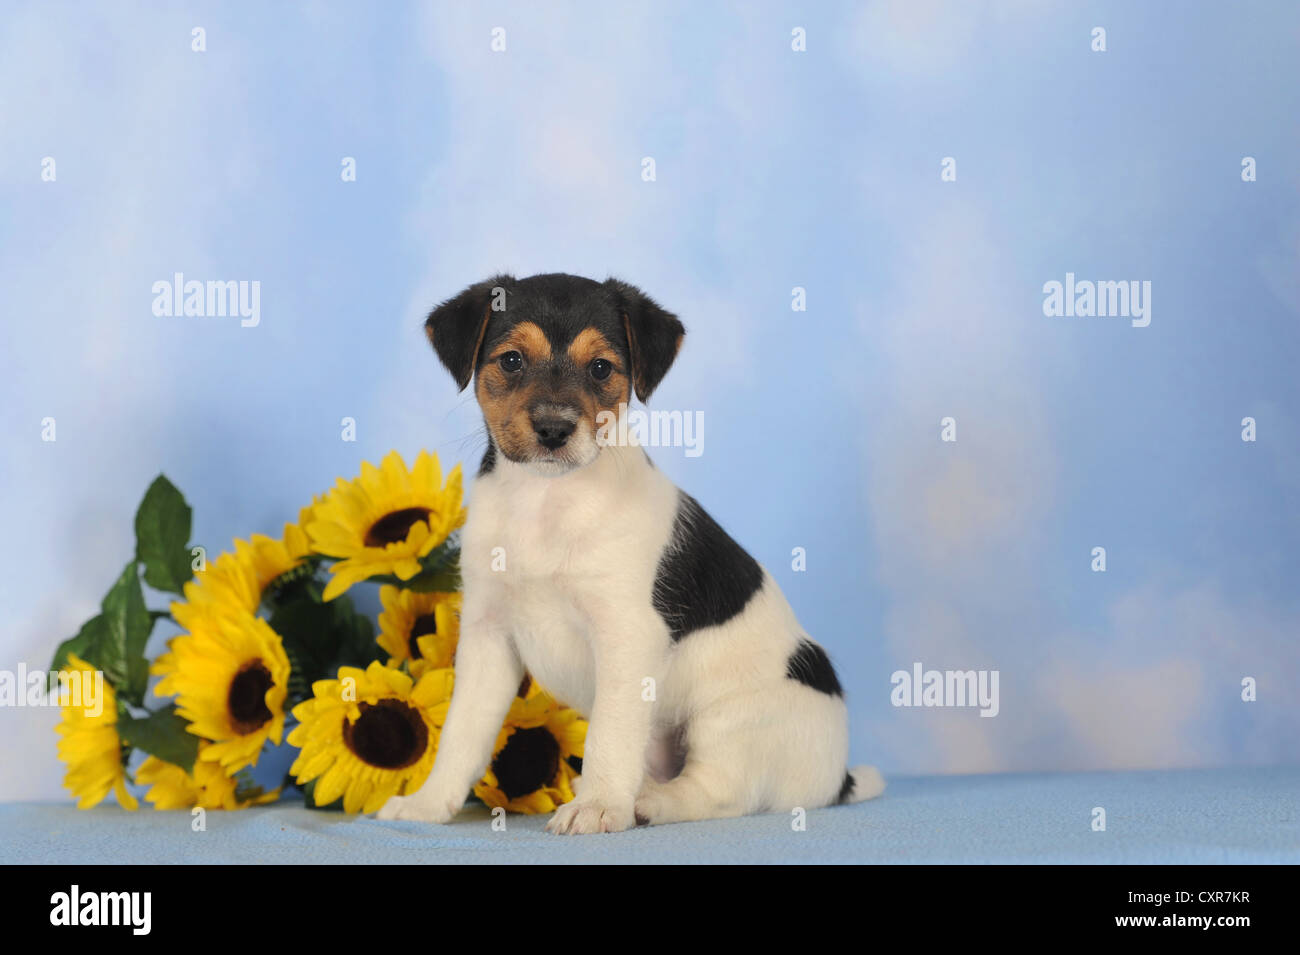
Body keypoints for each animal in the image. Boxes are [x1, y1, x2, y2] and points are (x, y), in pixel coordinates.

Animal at [379, 272, 883, 831]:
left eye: (601, 368)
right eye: (511, 360)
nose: (554, 430)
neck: (545, 500)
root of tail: (839, 778)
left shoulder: (627, 636)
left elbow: (609, 732)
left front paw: (599, 805)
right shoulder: (488, 634)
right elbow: (462, 732)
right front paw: (428, 803)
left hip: (733, 720)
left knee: (721, 791)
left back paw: (647, 802)